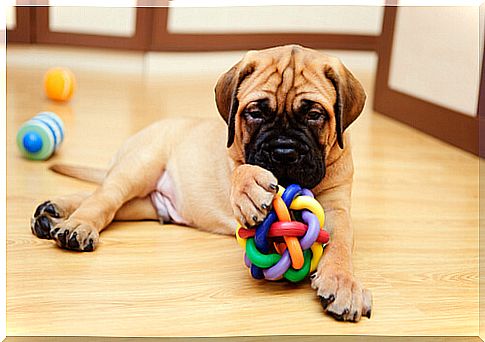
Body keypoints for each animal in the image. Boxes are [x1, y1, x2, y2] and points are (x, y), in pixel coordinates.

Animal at [30, 44, 370, 320]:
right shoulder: (234, 156)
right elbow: (240, 169)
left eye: (314, 114)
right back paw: (75, 225)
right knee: (104, 198)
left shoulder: (337, 208)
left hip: (148, 204)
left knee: (105, 199)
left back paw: (53, 213)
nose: (283, 151)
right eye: (256, 113)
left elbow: (340, 244)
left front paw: (343, 283)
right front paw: (249, 188)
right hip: (139, 168)